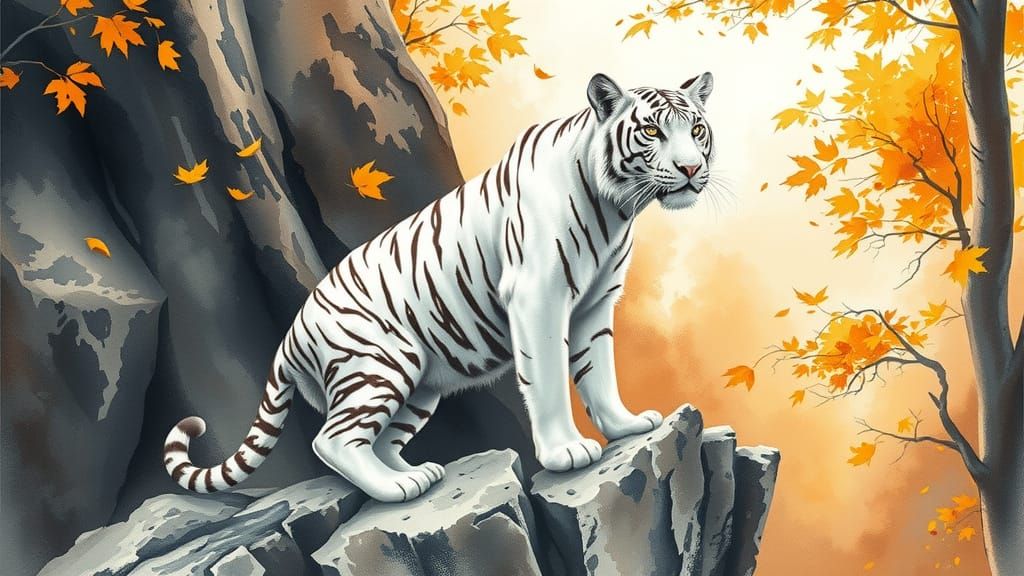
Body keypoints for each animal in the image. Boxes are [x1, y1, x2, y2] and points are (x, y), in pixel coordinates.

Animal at [163, 72, 716, 503]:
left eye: (696, 129)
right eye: (651, 130)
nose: (691, 169)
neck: (615, 207)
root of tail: (292, 331)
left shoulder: (595, 303)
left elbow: (598, 372)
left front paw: (624, 426)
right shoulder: (538, 298)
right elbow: (549, 379)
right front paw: (566, 451)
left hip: (420, 385)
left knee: (379, 440)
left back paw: (418, 474)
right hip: (380, 363)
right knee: (333, 441)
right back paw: (394, 489)